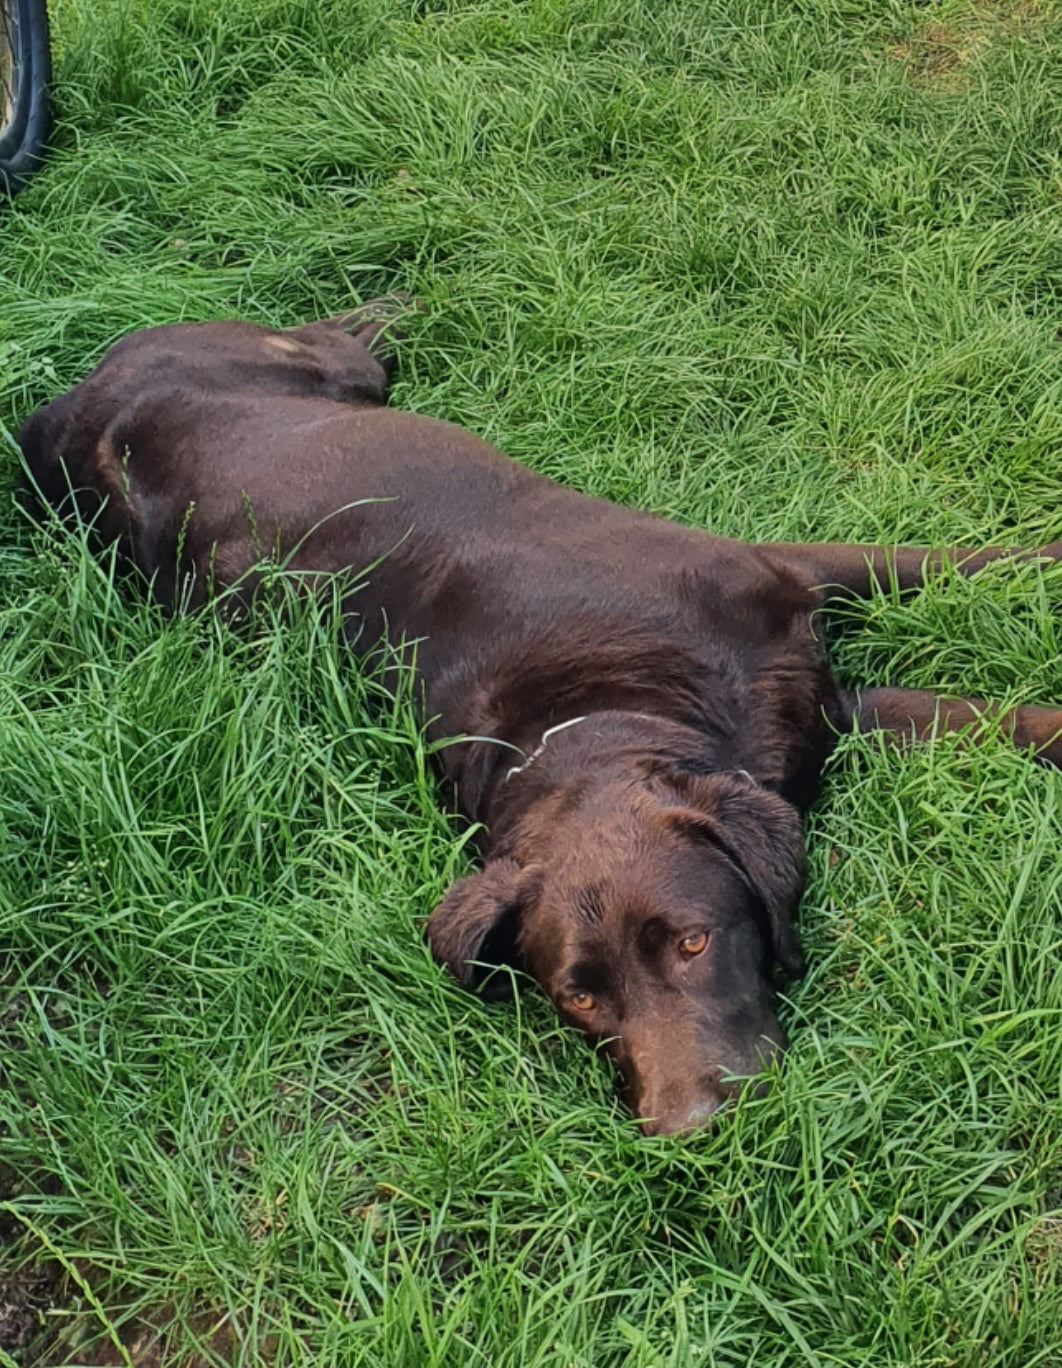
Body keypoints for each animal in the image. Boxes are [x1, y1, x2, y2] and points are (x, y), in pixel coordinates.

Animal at [22, 305, 1062, 1138]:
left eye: (694, 943)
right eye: (579, 998)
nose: (689, 1128)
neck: (603, 701)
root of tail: (63, 407)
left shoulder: (798, 590)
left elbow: (968, 569)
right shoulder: (831, 715)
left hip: (314, 371)